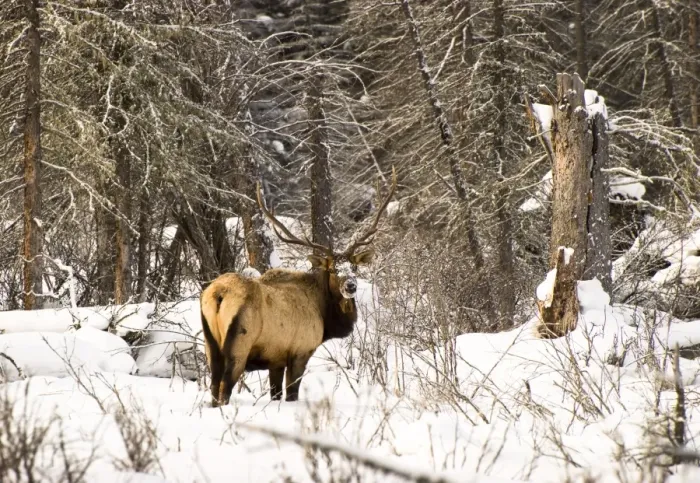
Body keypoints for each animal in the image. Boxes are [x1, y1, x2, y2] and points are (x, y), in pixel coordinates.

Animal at [200, 168, 397, 406]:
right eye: (333, 270)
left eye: (354, 267)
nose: (350, 286)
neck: (325, 315)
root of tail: (219, 294)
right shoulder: (300, 350)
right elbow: (292, 394)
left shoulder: (275, 359)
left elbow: (275, 394)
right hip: (239, 344)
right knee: (225, 388)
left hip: (210, 344)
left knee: (213, 387)